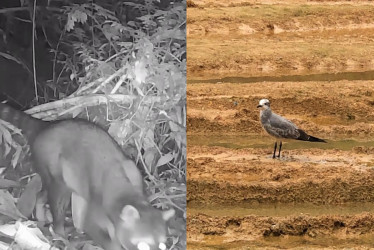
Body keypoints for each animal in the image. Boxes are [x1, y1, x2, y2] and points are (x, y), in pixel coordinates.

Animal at [0, 103, 175, 250]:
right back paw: (59, 231)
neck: (128, 193)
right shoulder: (97, 209)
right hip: (53, 165)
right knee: (57, 197)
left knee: (46, 194)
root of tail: (48, 125)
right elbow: (94, 229)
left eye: (162, 246)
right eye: (143, 246)